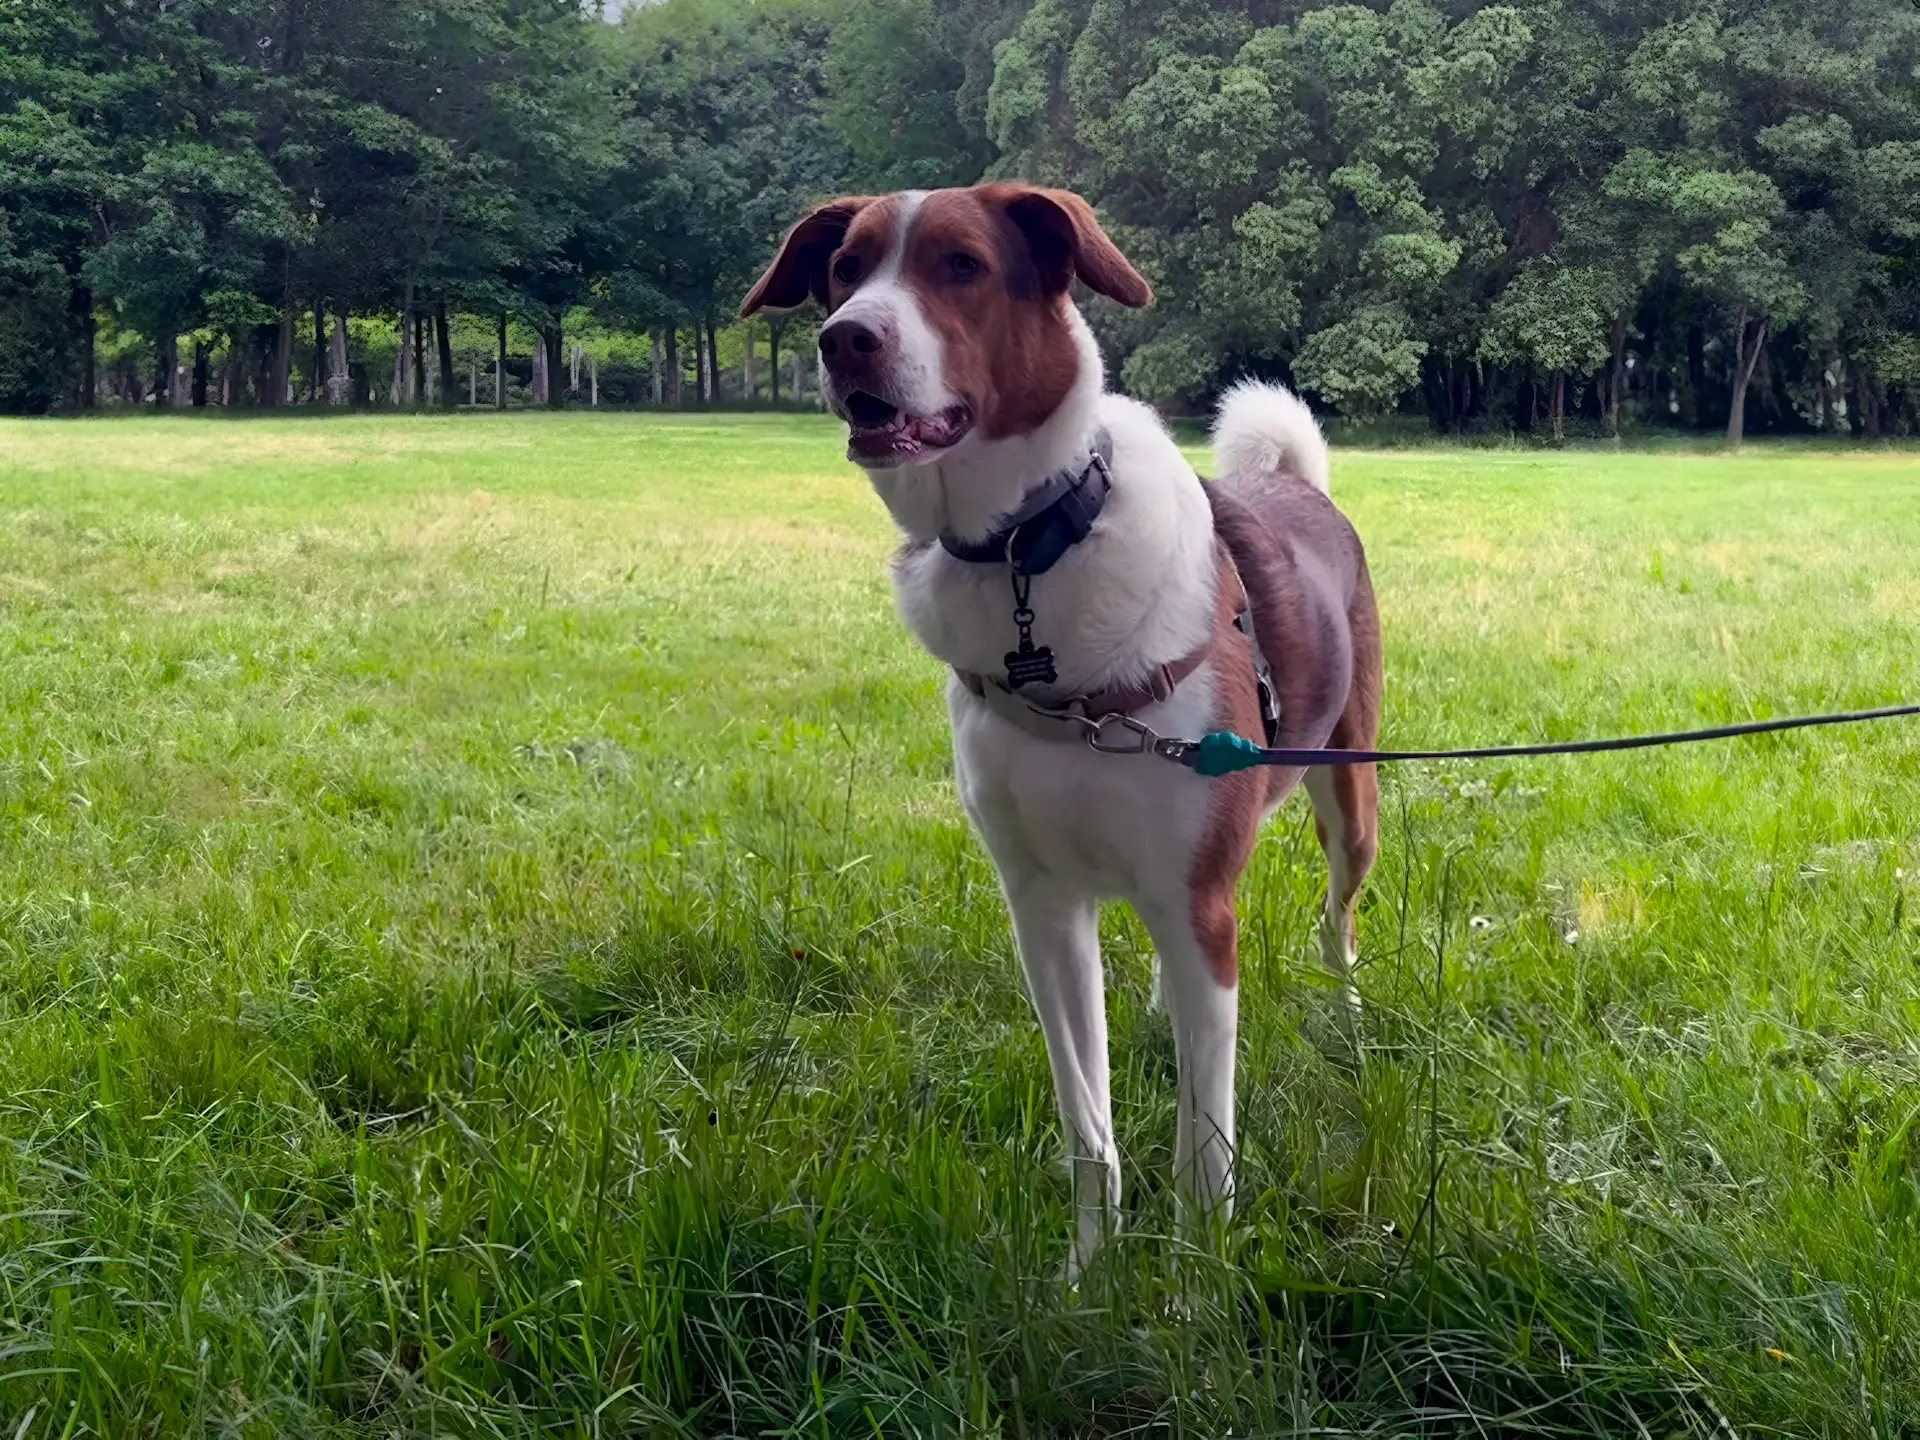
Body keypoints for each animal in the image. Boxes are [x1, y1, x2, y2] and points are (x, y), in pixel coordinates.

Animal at [737, 183, 1382, 1274]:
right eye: (845, 270)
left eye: (960, 265)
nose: (845, 339)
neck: (1027, 553)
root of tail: (1298, 485)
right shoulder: (1041, 907)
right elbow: (1090, 1122)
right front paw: (1087, 1274)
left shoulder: (1195, 895)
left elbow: (1205, 1152)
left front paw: (1192, 1293)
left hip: (1349, 796)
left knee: (1334, 924)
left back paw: (1345, 1016)